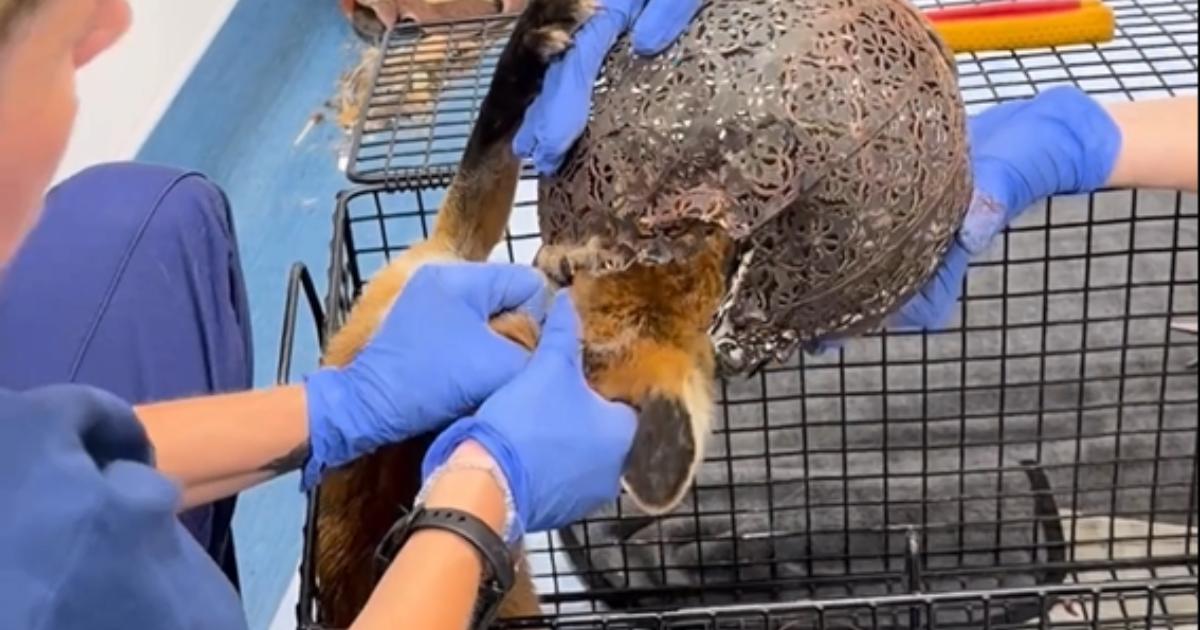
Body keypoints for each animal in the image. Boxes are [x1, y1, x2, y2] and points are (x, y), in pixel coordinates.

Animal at [315, 0, 730, 625]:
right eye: (666, 248)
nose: (723, 226)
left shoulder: (443, 258)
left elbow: (491, 144)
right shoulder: (437, 259)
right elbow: (489, 135)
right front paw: (536, 34)